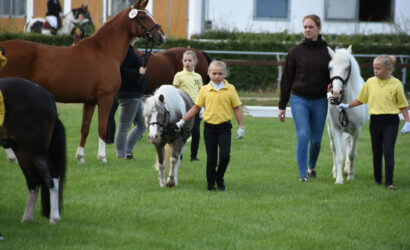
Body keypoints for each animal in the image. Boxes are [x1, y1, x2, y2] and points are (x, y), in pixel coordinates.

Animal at [0, 0, 167, 163]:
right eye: (143, 17)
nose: (162, 36)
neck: (104, 50)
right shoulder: (105, 97)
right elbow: (102, 128)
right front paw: (102, 157)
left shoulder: (90, 101)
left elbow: (85, 129)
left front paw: (80, 157)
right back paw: (12, 156)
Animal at [0, 77, 66, 224]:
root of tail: (47, 95)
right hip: (21, 149)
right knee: (33, 180)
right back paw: (27, 218)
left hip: (35, 150)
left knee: (52, 176)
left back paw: (54, 217)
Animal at [326, 46, 368, 184]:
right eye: (330, 67)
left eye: (347, 68)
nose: (336, 93)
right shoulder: (336, 129)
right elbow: (339, 155)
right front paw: (339, 180)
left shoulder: (356, 130)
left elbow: (351, 154)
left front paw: (350, 175)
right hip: (330, 129)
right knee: (334, 149)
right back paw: (335, 172)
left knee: (349, 147)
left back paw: (347, 170)